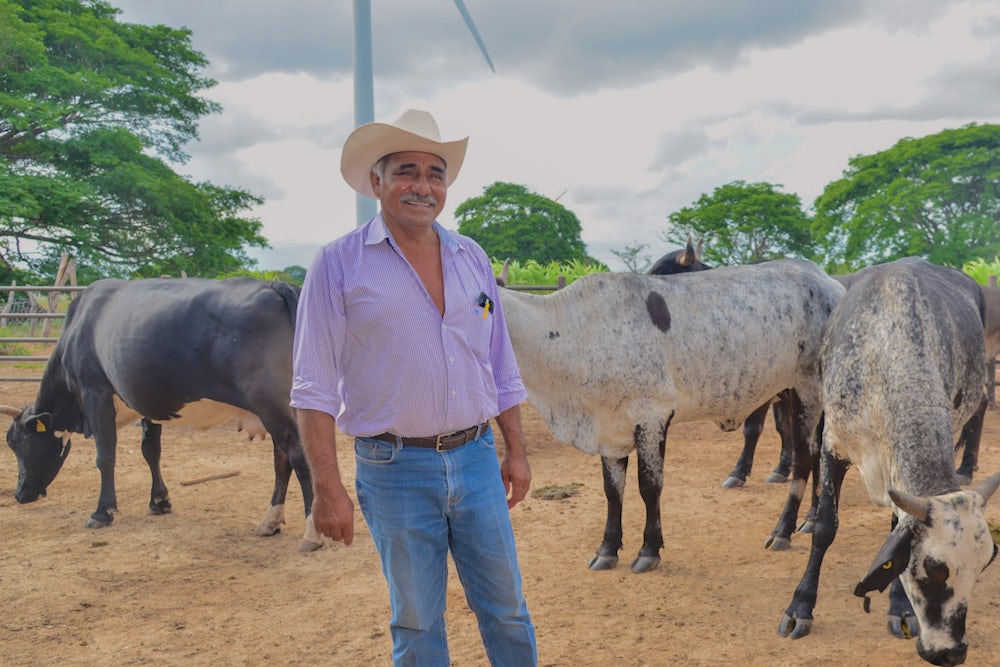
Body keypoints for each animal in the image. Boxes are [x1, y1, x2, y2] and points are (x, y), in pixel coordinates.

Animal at [0, 276, 320, 548]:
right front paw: (159, 502)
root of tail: (274, 286)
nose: (19, 494)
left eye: (18, 444)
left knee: (300, 457)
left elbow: (105, 456)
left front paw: (102, 511)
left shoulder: (95, 392)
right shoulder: (146, 402)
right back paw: (270, 522)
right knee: (282, 461)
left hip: (273, 404)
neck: (79, 326)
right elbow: (150, 450)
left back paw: (312, 533)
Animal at [500, 258, 844, 572]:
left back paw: (783, 530)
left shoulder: (651, 417)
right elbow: (613, 491)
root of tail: (830, 282)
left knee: (804, 458)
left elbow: (649, 486)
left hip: (807, 391)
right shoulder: (610, 429)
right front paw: (607, 549)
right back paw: (810, 519)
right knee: (816, 455)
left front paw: (649, 550)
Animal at [780, 258, 1000, 667]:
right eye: (933, 568)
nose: (951, 652)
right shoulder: (835, 443)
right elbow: (827, 527)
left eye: (983, 565)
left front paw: (900, 609)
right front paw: (800, 606)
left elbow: (897, 528)